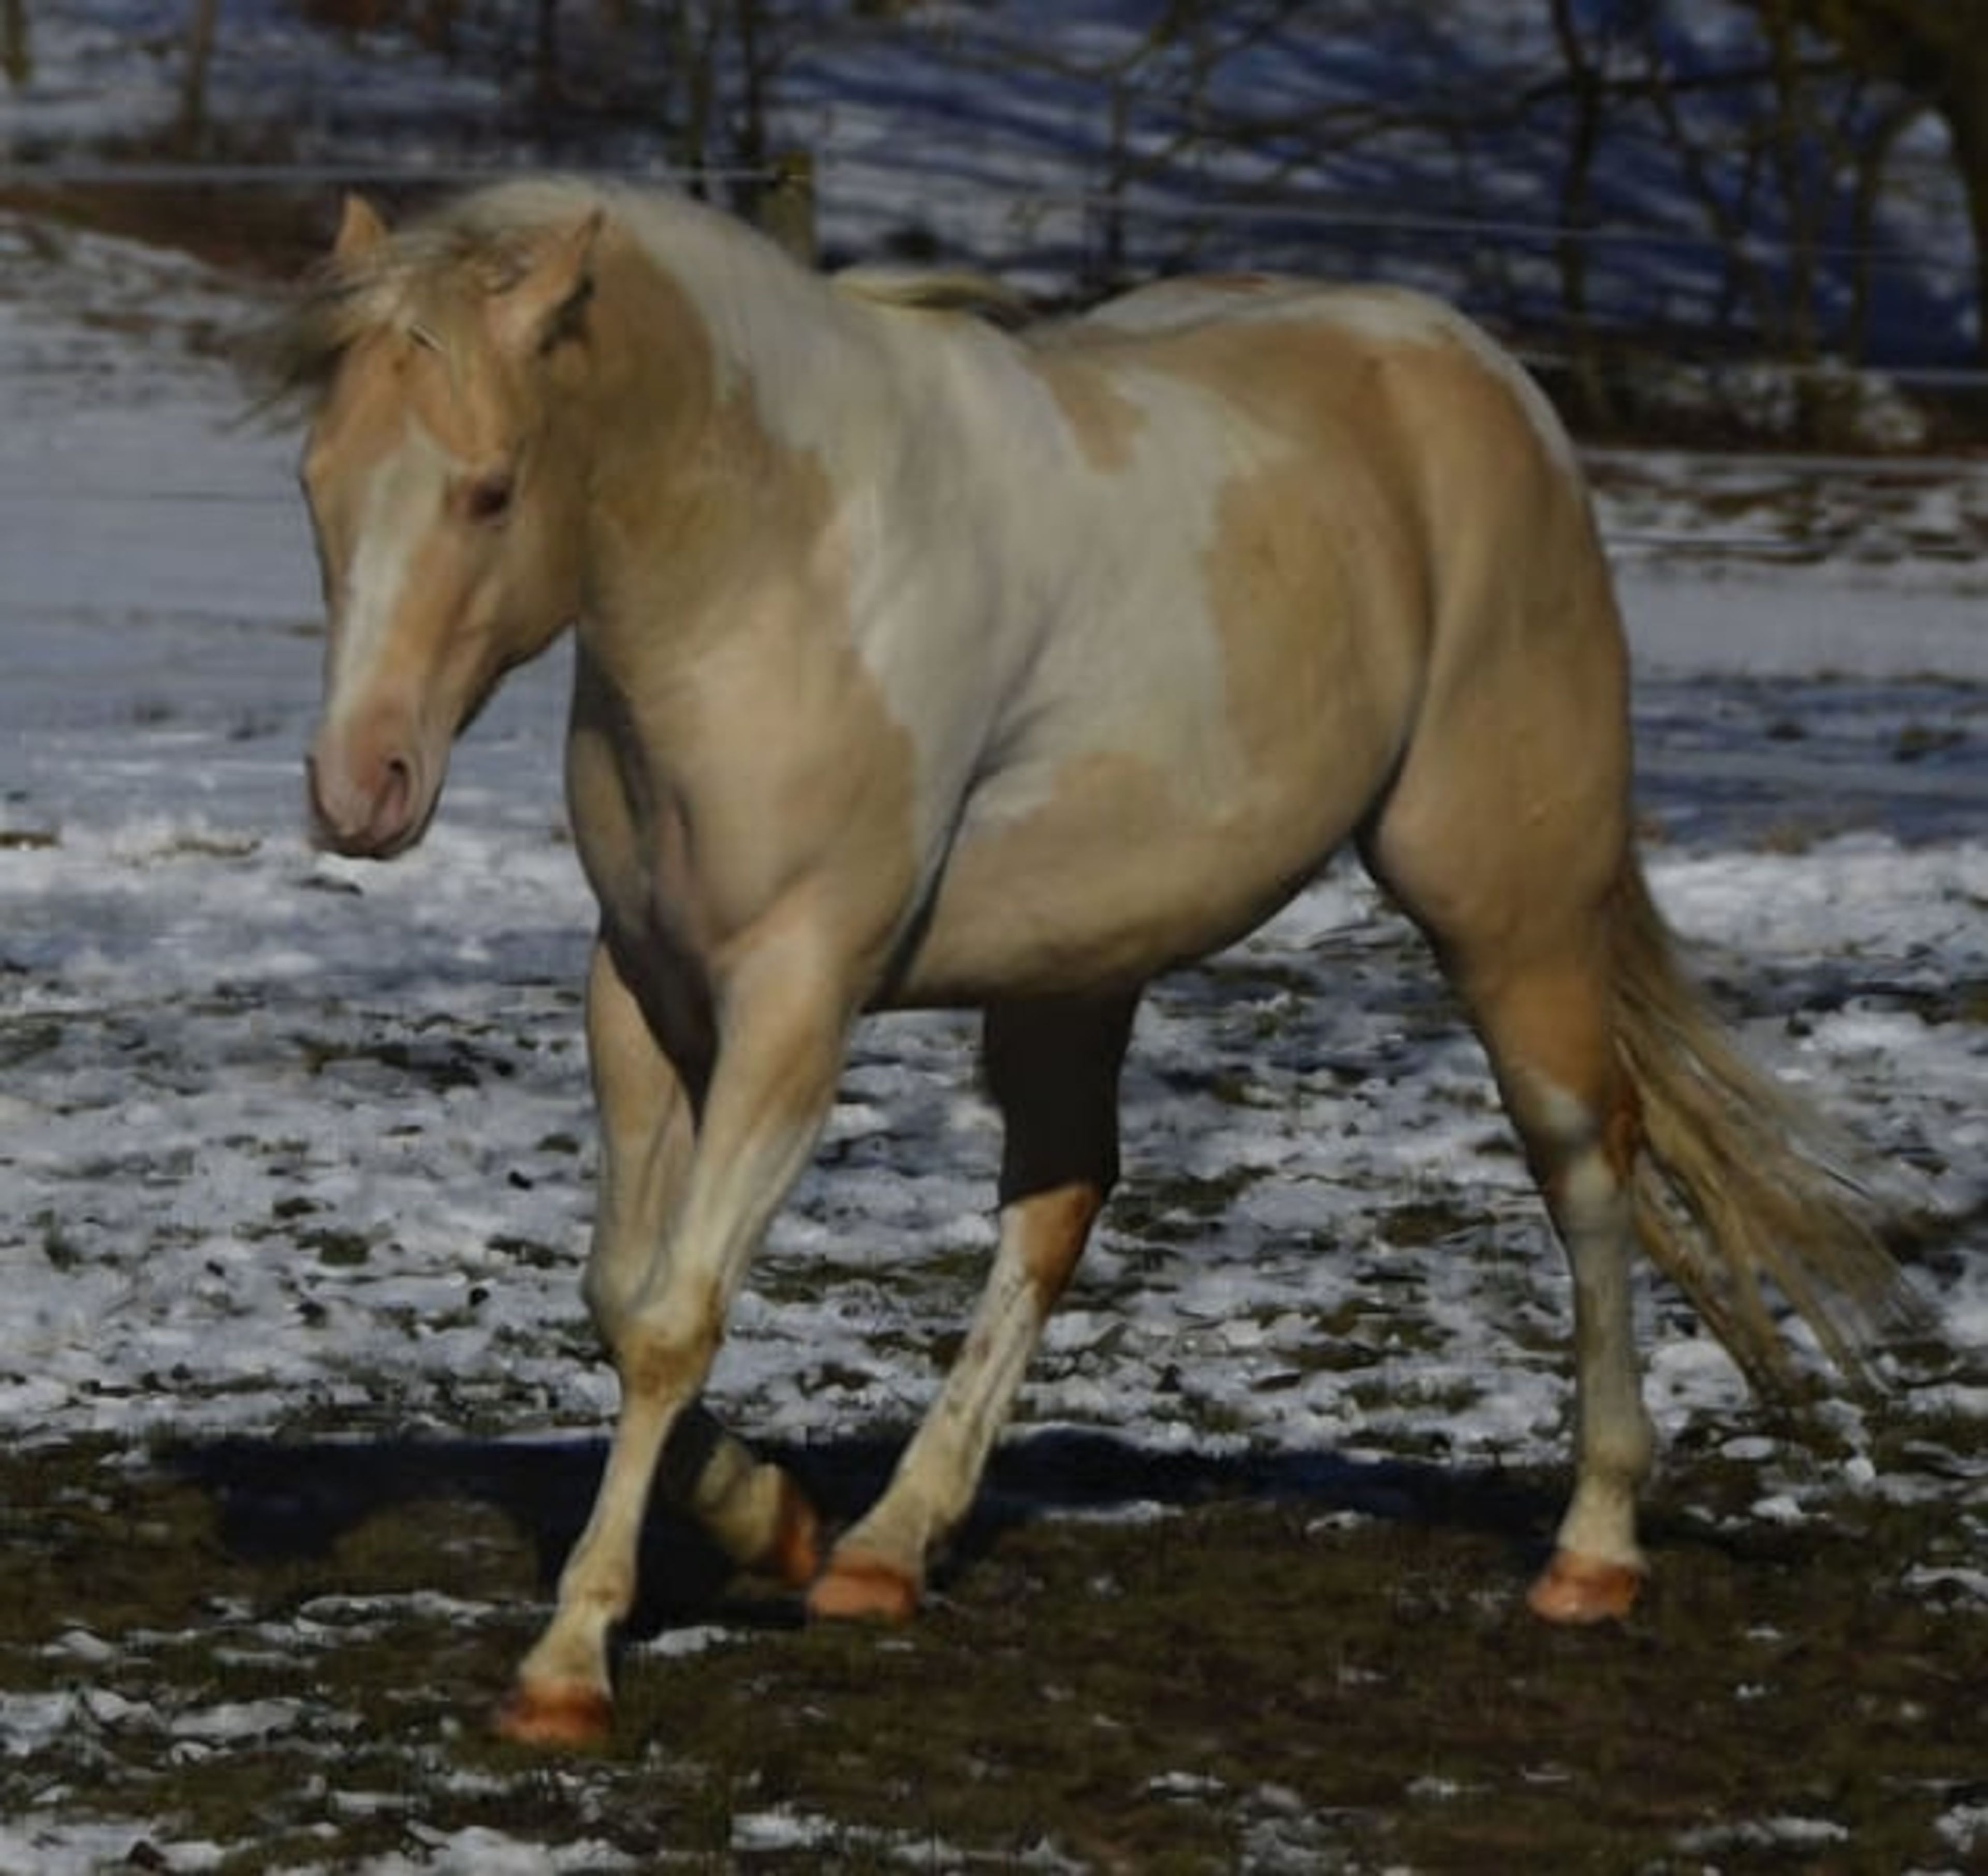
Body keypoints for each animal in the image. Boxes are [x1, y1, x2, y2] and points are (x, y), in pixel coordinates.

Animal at [275, 176, 1904, 1746]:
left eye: (489, 489)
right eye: (316, 481)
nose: (360, 787)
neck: (775, 568)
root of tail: (1493, 387)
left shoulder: (795, 1003)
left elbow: (674, 1317)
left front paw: (565, 1667)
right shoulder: (642, 990)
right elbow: (620, 1294)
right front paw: (779, 1522)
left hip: (1508, 908)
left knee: (1586, 1158)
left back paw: (1593, 1549)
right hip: (1078, 966)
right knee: (1057, 1204)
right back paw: (882, 1549)